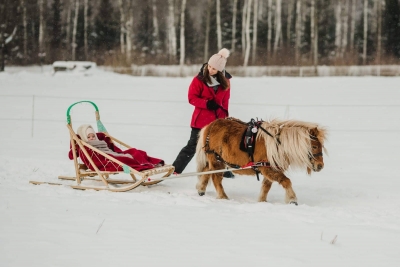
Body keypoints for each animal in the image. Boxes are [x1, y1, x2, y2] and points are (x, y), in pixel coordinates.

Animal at [195, 118, 328, 205]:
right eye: (314, 146)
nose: (320, 166)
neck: (278, 145)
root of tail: (210, 125)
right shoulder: (268, 169)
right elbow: (286, 181)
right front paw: (292, 199)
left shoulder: (271, 169)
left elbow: (266, 186)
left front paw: (262, 201)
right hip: (216, 159)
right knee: (216, 178)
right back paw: (223, 196)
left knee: (206, 171)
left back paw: (201, 189)